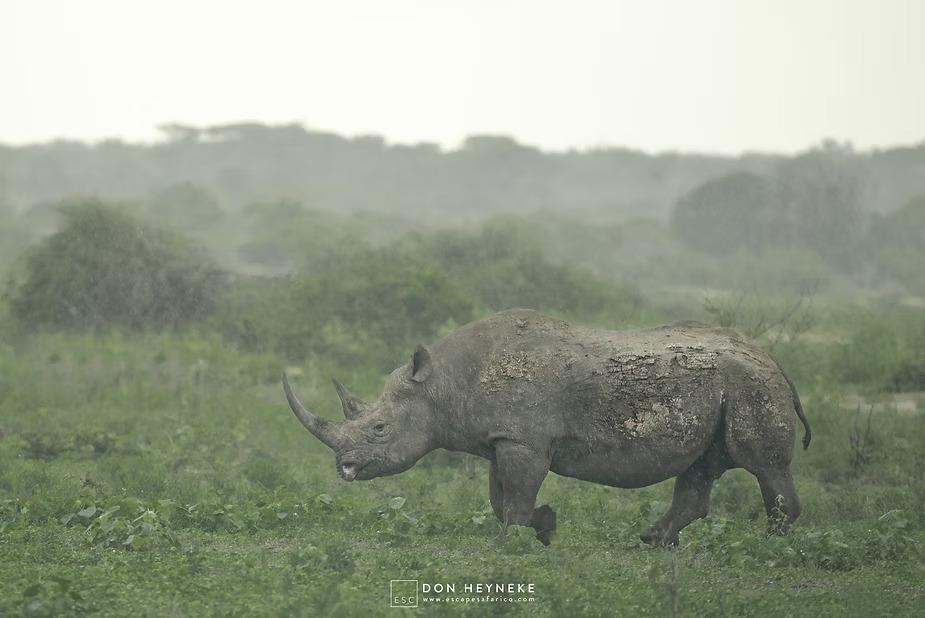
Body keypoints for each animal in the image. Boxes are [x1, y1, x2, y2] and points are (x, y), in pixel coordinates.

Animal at [283, 309, 810, 546]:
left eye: (379, 428)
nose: (344, 467)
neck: (443, 384)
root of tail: (776, 362)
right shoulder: (501, 439)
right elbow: (500, 499)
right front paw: (545, 527)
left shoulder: (525, 440)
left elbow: (515, 500)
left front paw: (522, 538)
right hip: (728, 387)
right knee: (701, 469)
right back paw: (652, 542)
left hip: (750, 385)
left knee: (763, 466)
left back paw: (771, 549)